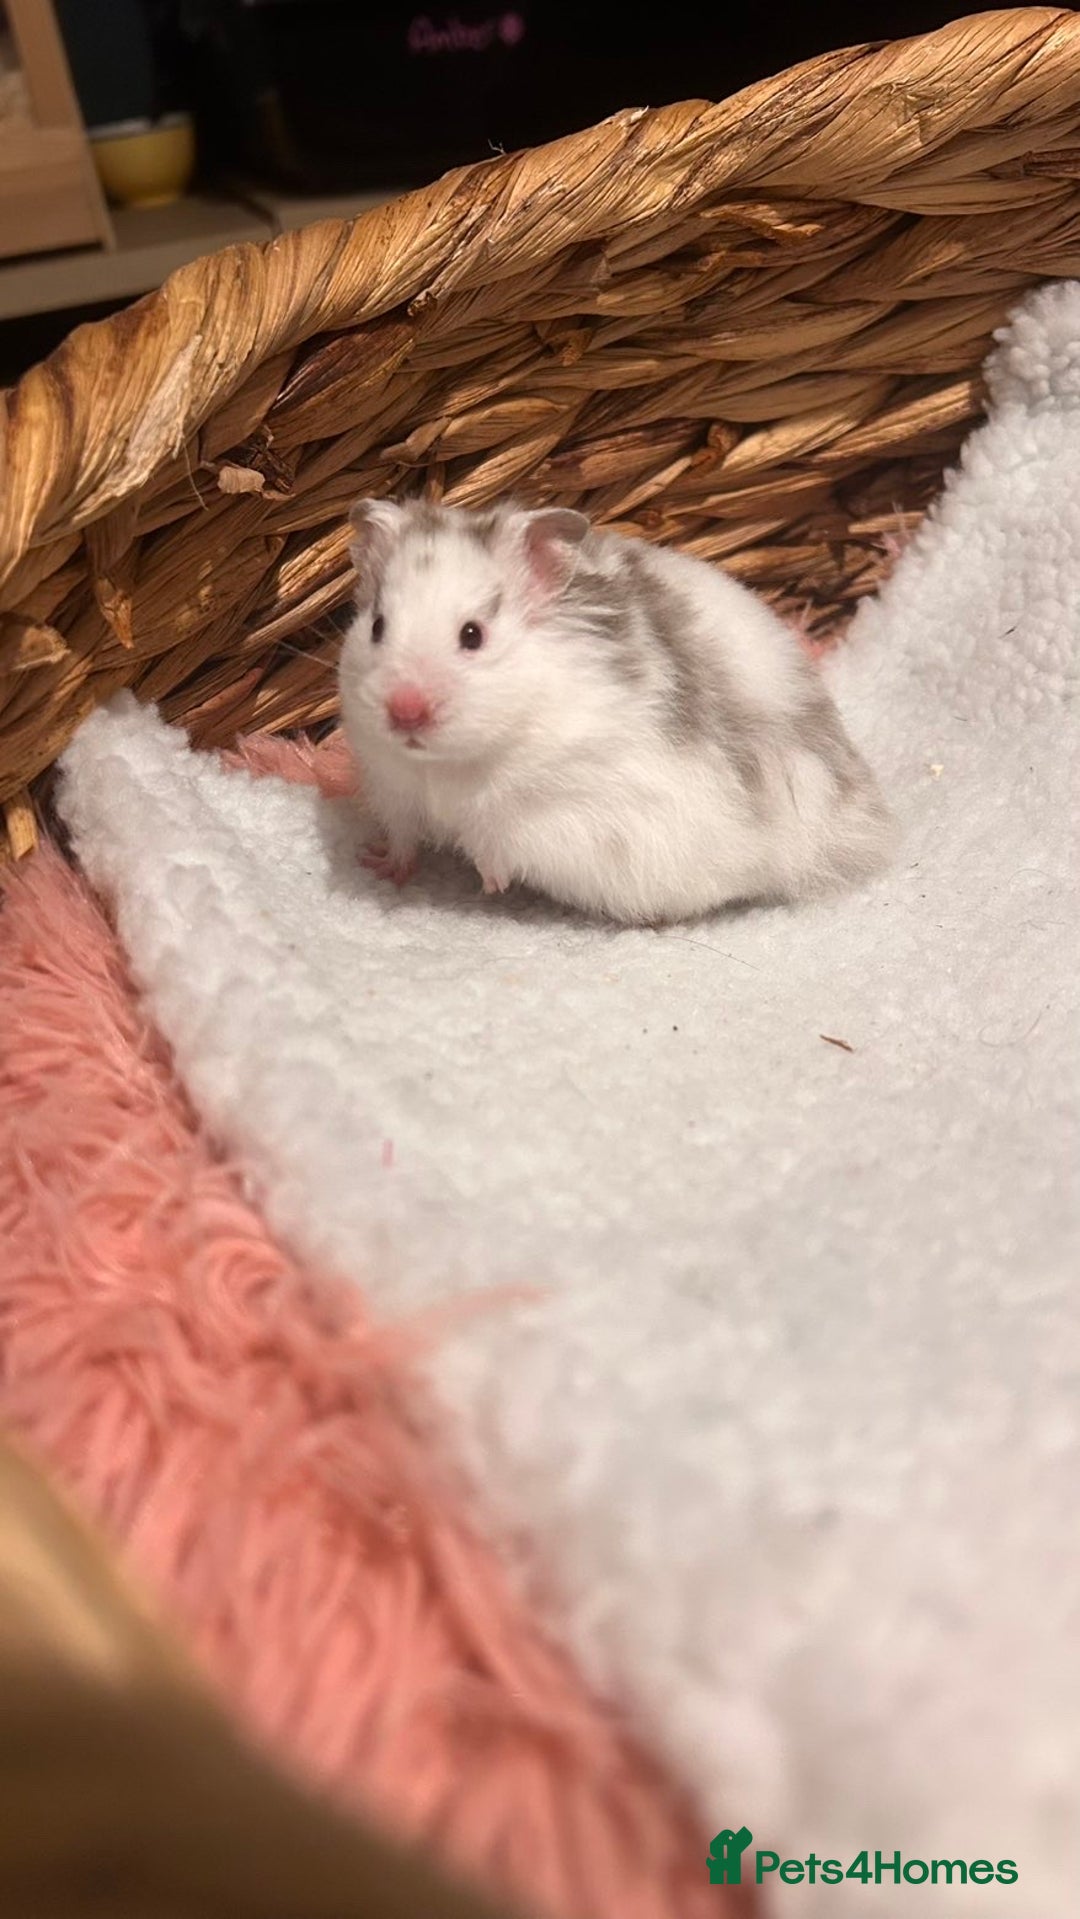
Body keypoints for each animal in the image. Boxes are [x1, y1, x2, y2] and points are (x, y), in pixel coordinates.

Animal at [337, 497, 894, 925]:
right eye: (378, 626)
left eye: (472, 635)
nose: (405, 714)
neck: (444, 762)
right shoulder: (390, 785)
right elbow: (403, 838)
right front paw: (375, 865)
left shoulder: (553, 810)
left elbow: (493, 842)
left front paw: (490, 884)